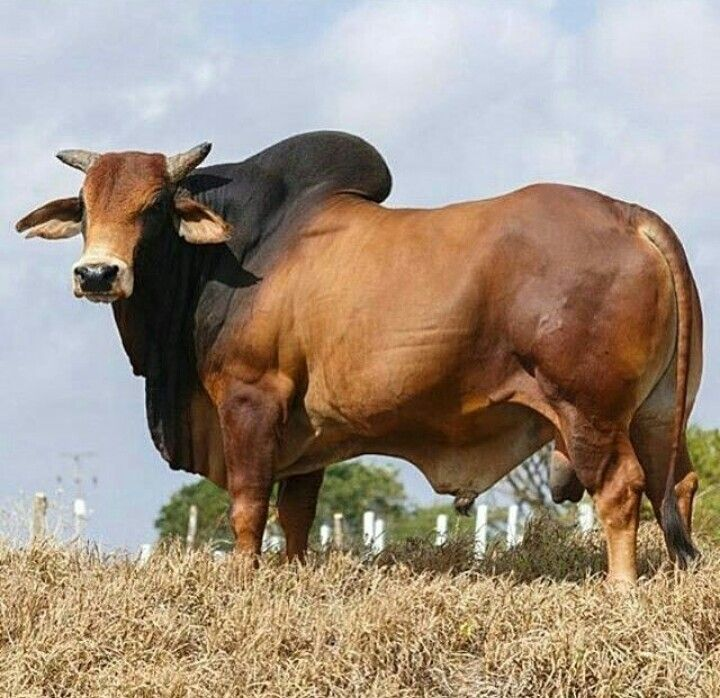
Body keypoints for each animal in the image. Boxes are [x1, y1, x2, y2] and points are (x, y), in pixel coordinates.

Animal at [16, 131, 702, 584]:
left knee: (621, 488)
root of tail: (629, 216)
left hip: (588, 411)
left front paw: (242, 581)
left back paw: (621, 589)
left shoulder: (250, 399)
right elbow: (296, 515)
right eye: (84, 206)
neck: (229, 251)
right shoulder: (306, 434)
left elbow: (248, 504)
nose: (97, 274)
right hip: (657, 411)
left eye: (155, 205)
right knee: (676, 484)